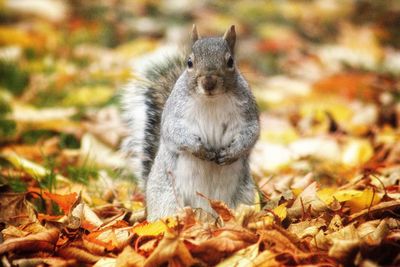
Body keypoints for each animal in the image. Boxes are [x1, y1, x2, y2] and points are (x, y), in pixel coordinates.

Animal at [121, 25, 260, 222]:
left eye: (230, 61)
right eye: (189, 62)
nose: (208, 82)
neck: (211, 101)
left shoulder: (248, 114)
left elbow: (251, 133)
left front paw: (232, 153)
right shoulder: (174, 115)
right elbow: (174, 133)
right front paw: (200, 149)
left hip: (243, 197)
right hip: (168, 199)